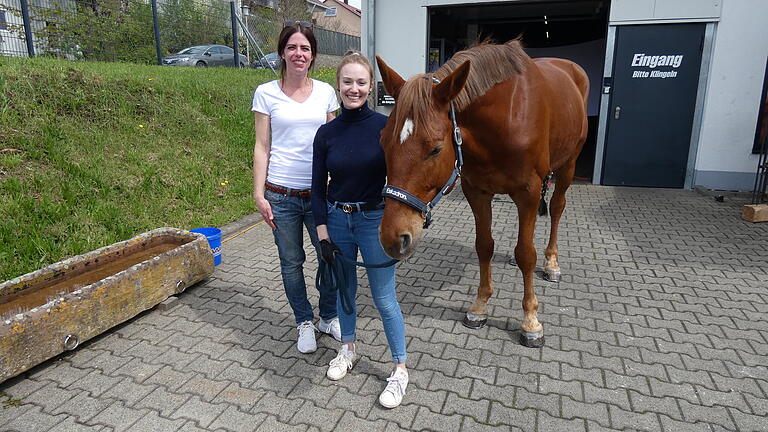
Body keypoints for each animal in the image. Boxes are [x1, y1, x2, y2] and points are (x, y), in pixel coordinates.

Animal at [376, 40, 588, 348]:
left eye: (436, 149)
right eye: (382, 141)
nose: (393, 239)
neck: (506, 116)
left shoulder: (527, 192)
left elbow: (526, 254)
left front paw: (531, 321)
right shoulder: (477, 192)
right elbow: (484, 246)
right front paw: (479, 306)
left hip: (568, 166)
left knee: (557, 208)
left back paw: (551, 262)